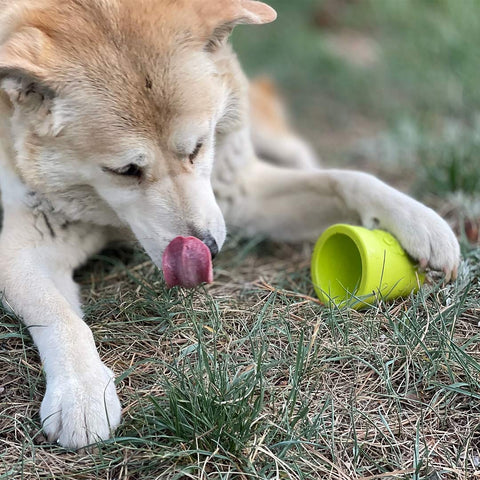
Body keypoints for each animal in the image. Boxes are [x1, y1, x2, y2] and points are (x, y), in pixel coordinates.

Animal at [0, 0, 460, 450]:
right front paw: (81, 391)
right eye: (125, 171)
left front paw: (420, 223)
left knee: (297, 149)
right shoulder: (23, 250)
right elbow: (60, 315)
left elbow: (348, 178)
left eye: (198, 147)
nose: (207, 247)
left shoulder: (239, 192)